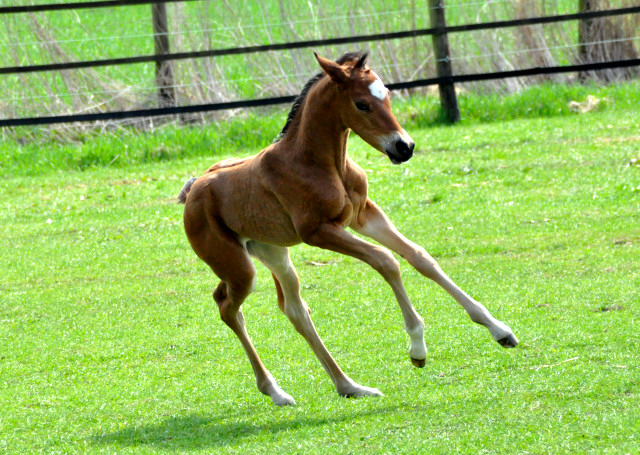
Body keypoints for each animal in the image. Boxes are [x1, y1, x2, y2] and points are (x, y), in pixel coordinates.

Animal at [178, 52, 516, 406]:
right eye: (361, 104)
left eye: (387, 96)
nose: (404, 147)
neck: (318, 162)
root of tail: (192, 191)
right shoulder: (319, 232)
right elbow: (386, 260)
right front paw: (417, 347)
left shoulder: (363, 214)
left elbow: (419, 257)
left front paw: (500, 329)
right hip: (239, 268)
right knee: (227, 307)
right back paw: (276, 391)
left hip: (273, 252)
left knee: (294, 309)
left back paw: (350, 386)